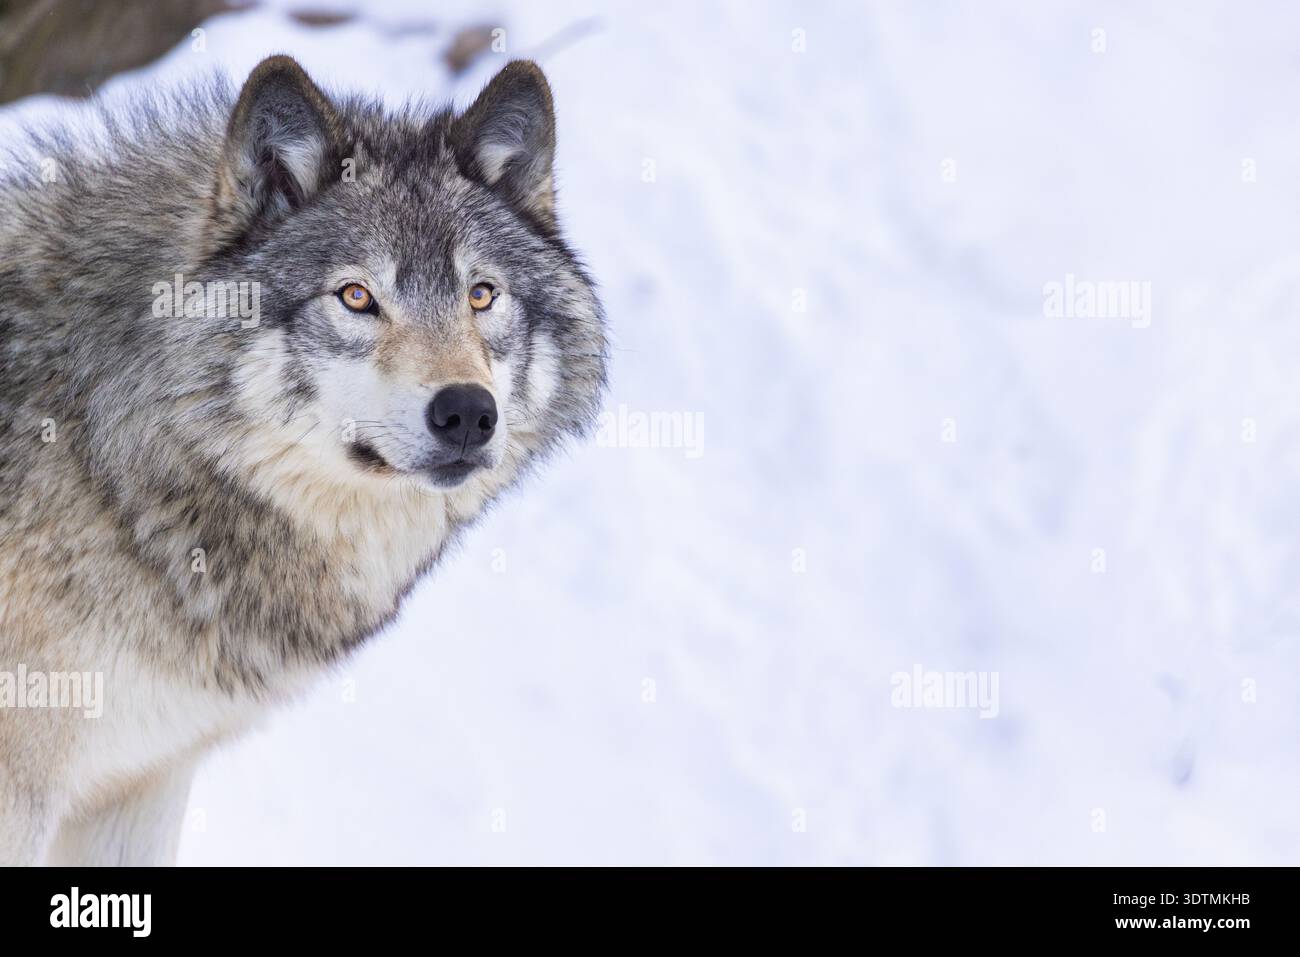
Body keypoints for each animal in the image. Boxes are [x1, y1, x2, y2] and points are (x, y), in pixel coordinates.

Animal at [0, 55, 606, 865]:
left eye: (482, 296)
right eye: (355, 296)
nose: (469, 413)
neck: (100, 448)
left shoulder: (144, 779)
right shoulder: (26, 791)